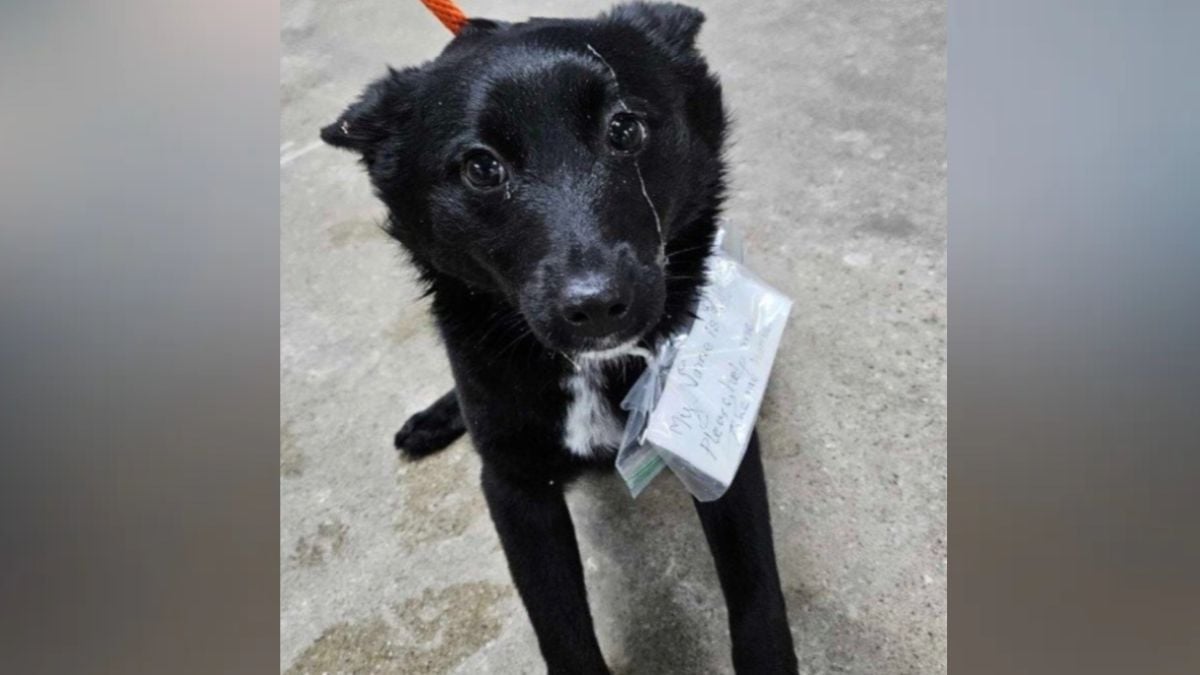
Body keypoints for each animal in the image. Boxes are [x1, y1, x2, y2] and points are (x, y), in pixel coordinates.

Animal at [321, 3, 796, 667]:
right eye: (481, 167)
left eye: (624, 129)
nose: (597, 307)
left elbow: (757, 595)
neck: (594, 368)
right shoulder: (515, 490)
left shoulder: (717, 458)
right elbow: (563, 631)